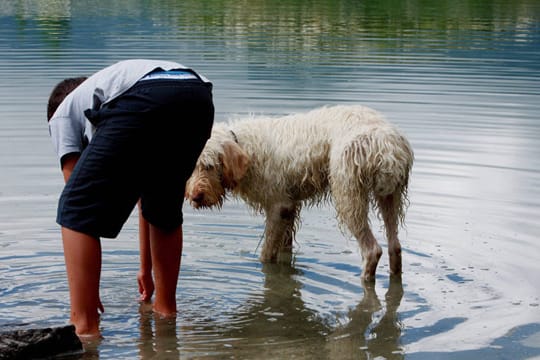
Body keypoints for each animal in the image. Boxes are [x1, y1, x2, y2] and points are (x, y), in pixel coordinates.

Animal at [186, 105, 414, 282]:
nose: (195, 197)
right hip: (390, 196)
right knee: (395, 246)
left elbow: (266, 252)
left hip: (348, 196)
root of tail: (387, 146)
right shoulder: (290, 208)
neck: (245, 147)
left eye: (209, 166)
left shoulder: (278, 206)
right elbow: (285, 248)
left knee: (372, 249)